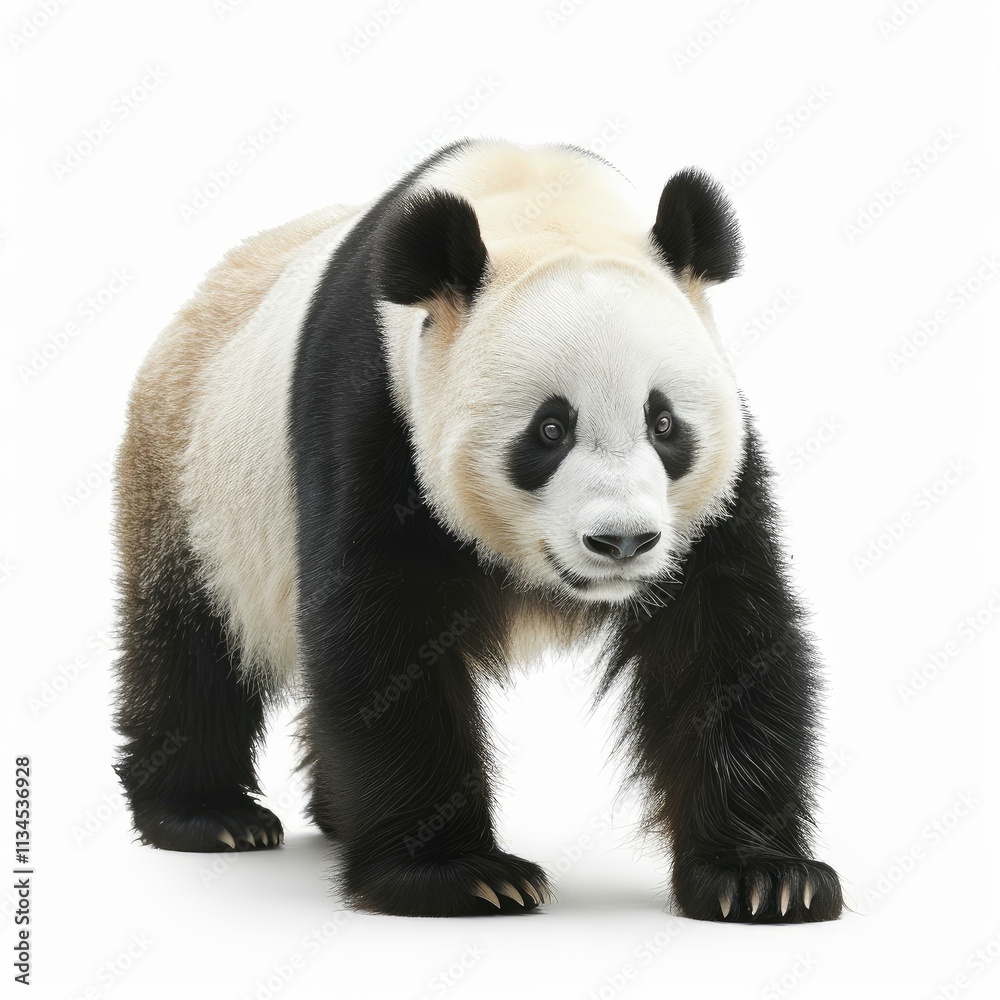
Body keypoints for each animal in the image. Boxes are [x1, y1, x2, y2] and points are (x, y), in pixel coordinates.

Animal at [113, 137, 843, 923]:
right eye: (550, 429)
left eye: (665, 423)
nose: (621, 542)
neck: (538, 202)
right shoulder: (376, 415)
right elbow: (384, 637)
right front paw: (459, 875)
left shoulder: (710, 501)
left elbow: (723, 637)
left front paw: (764, 878)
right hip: (192, 482)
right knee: (191, 647)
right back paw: (209, 815)